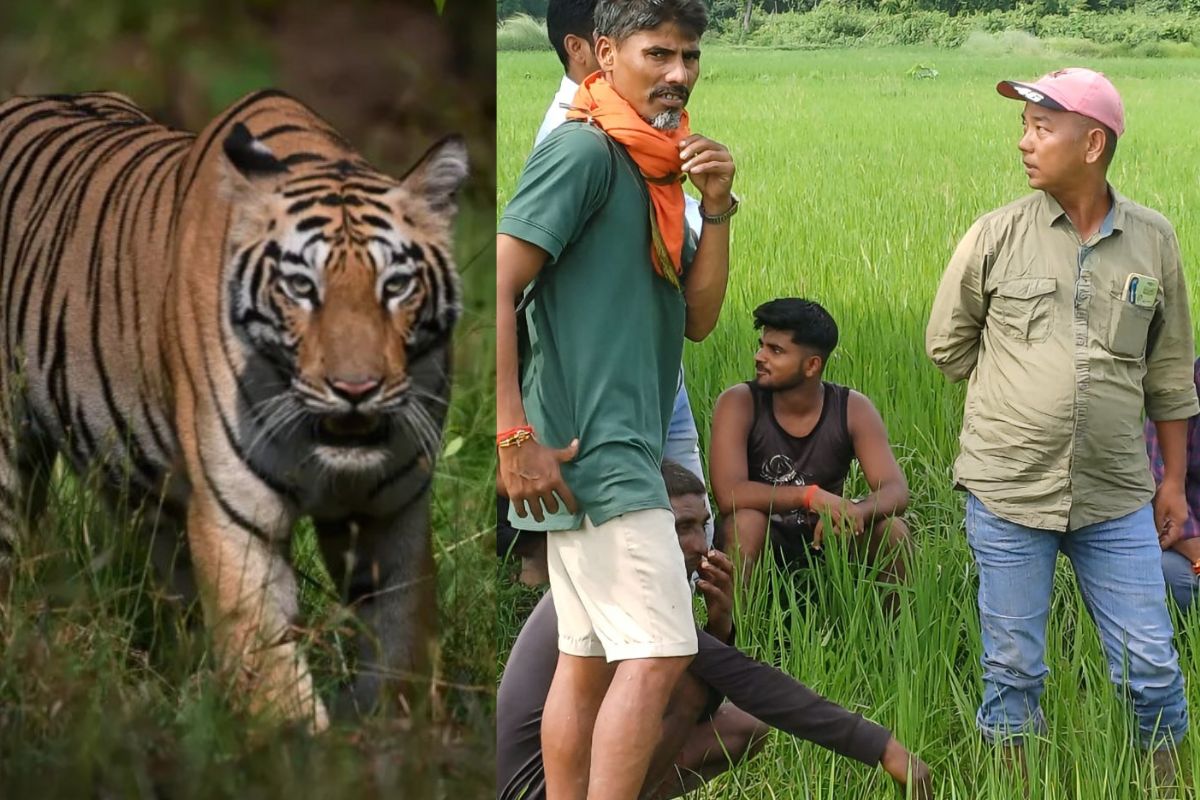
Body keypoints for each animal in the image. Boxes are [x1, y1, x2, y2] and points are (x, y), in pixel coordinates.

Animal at [0, 90, 469, 730]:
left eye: (395, 286)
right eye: (301, 287)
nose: (356, 388)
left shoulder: (391, 513)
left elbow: (401, 643)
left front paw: (401, 735)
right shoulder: (236, 518)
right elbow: (269, 671)